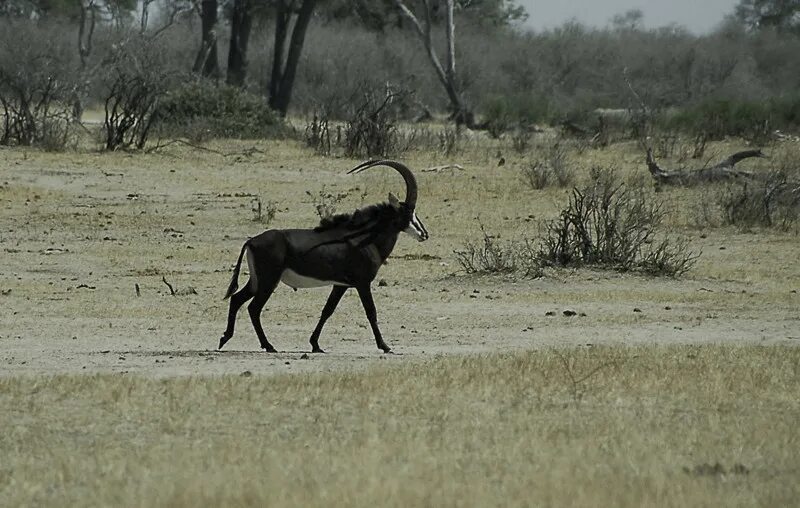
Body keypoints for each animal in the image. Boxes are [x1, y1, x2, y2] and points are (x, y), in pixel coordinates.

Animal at [219, 159, 428, 354]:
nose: (424, 234)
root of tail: (251, 241)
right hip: (268, 281)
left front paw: (315, 344)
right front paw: (385, 346)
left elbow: (328, 310)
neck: (364, 238)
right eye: (409, 212)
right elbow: (371, 312)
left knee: (237, 299)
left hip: (257, 281)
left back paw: (225, 338)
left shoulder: (340, 285)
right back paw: (268, 345)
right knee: (254, 308)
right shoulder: (362, 283)